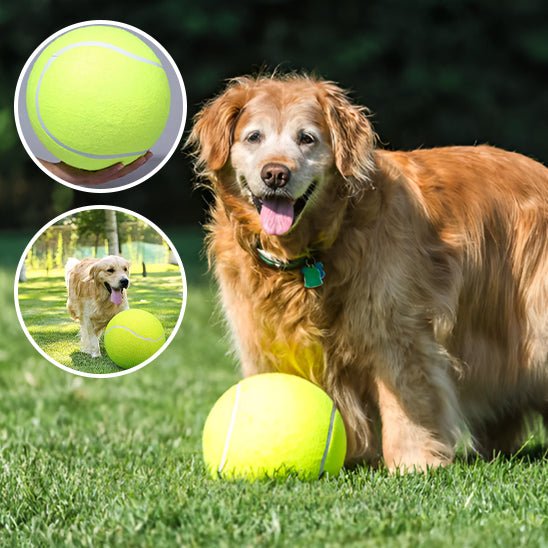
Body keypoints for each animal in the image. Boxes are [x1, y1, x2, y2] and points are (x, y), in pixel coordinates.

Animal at [189, 74, 548, 470]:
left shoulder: (395, 327)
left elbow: (406, 400)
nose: (276, 174)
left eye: (306, 138)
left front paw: (414, 461)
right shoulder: (261, 336)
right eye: (254, 137)